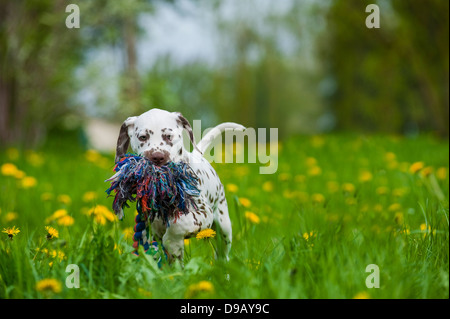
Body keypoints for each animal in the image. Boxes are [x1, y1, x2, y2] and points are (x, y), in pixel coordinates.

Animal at [114, 109, 244, 264]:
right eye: (143, 137)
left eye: (169, 136)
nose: (157, 157)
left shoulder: (203, 213)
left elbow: (179, 224)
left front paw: (172, 242)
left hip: (223, 227)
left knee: (223, 253)